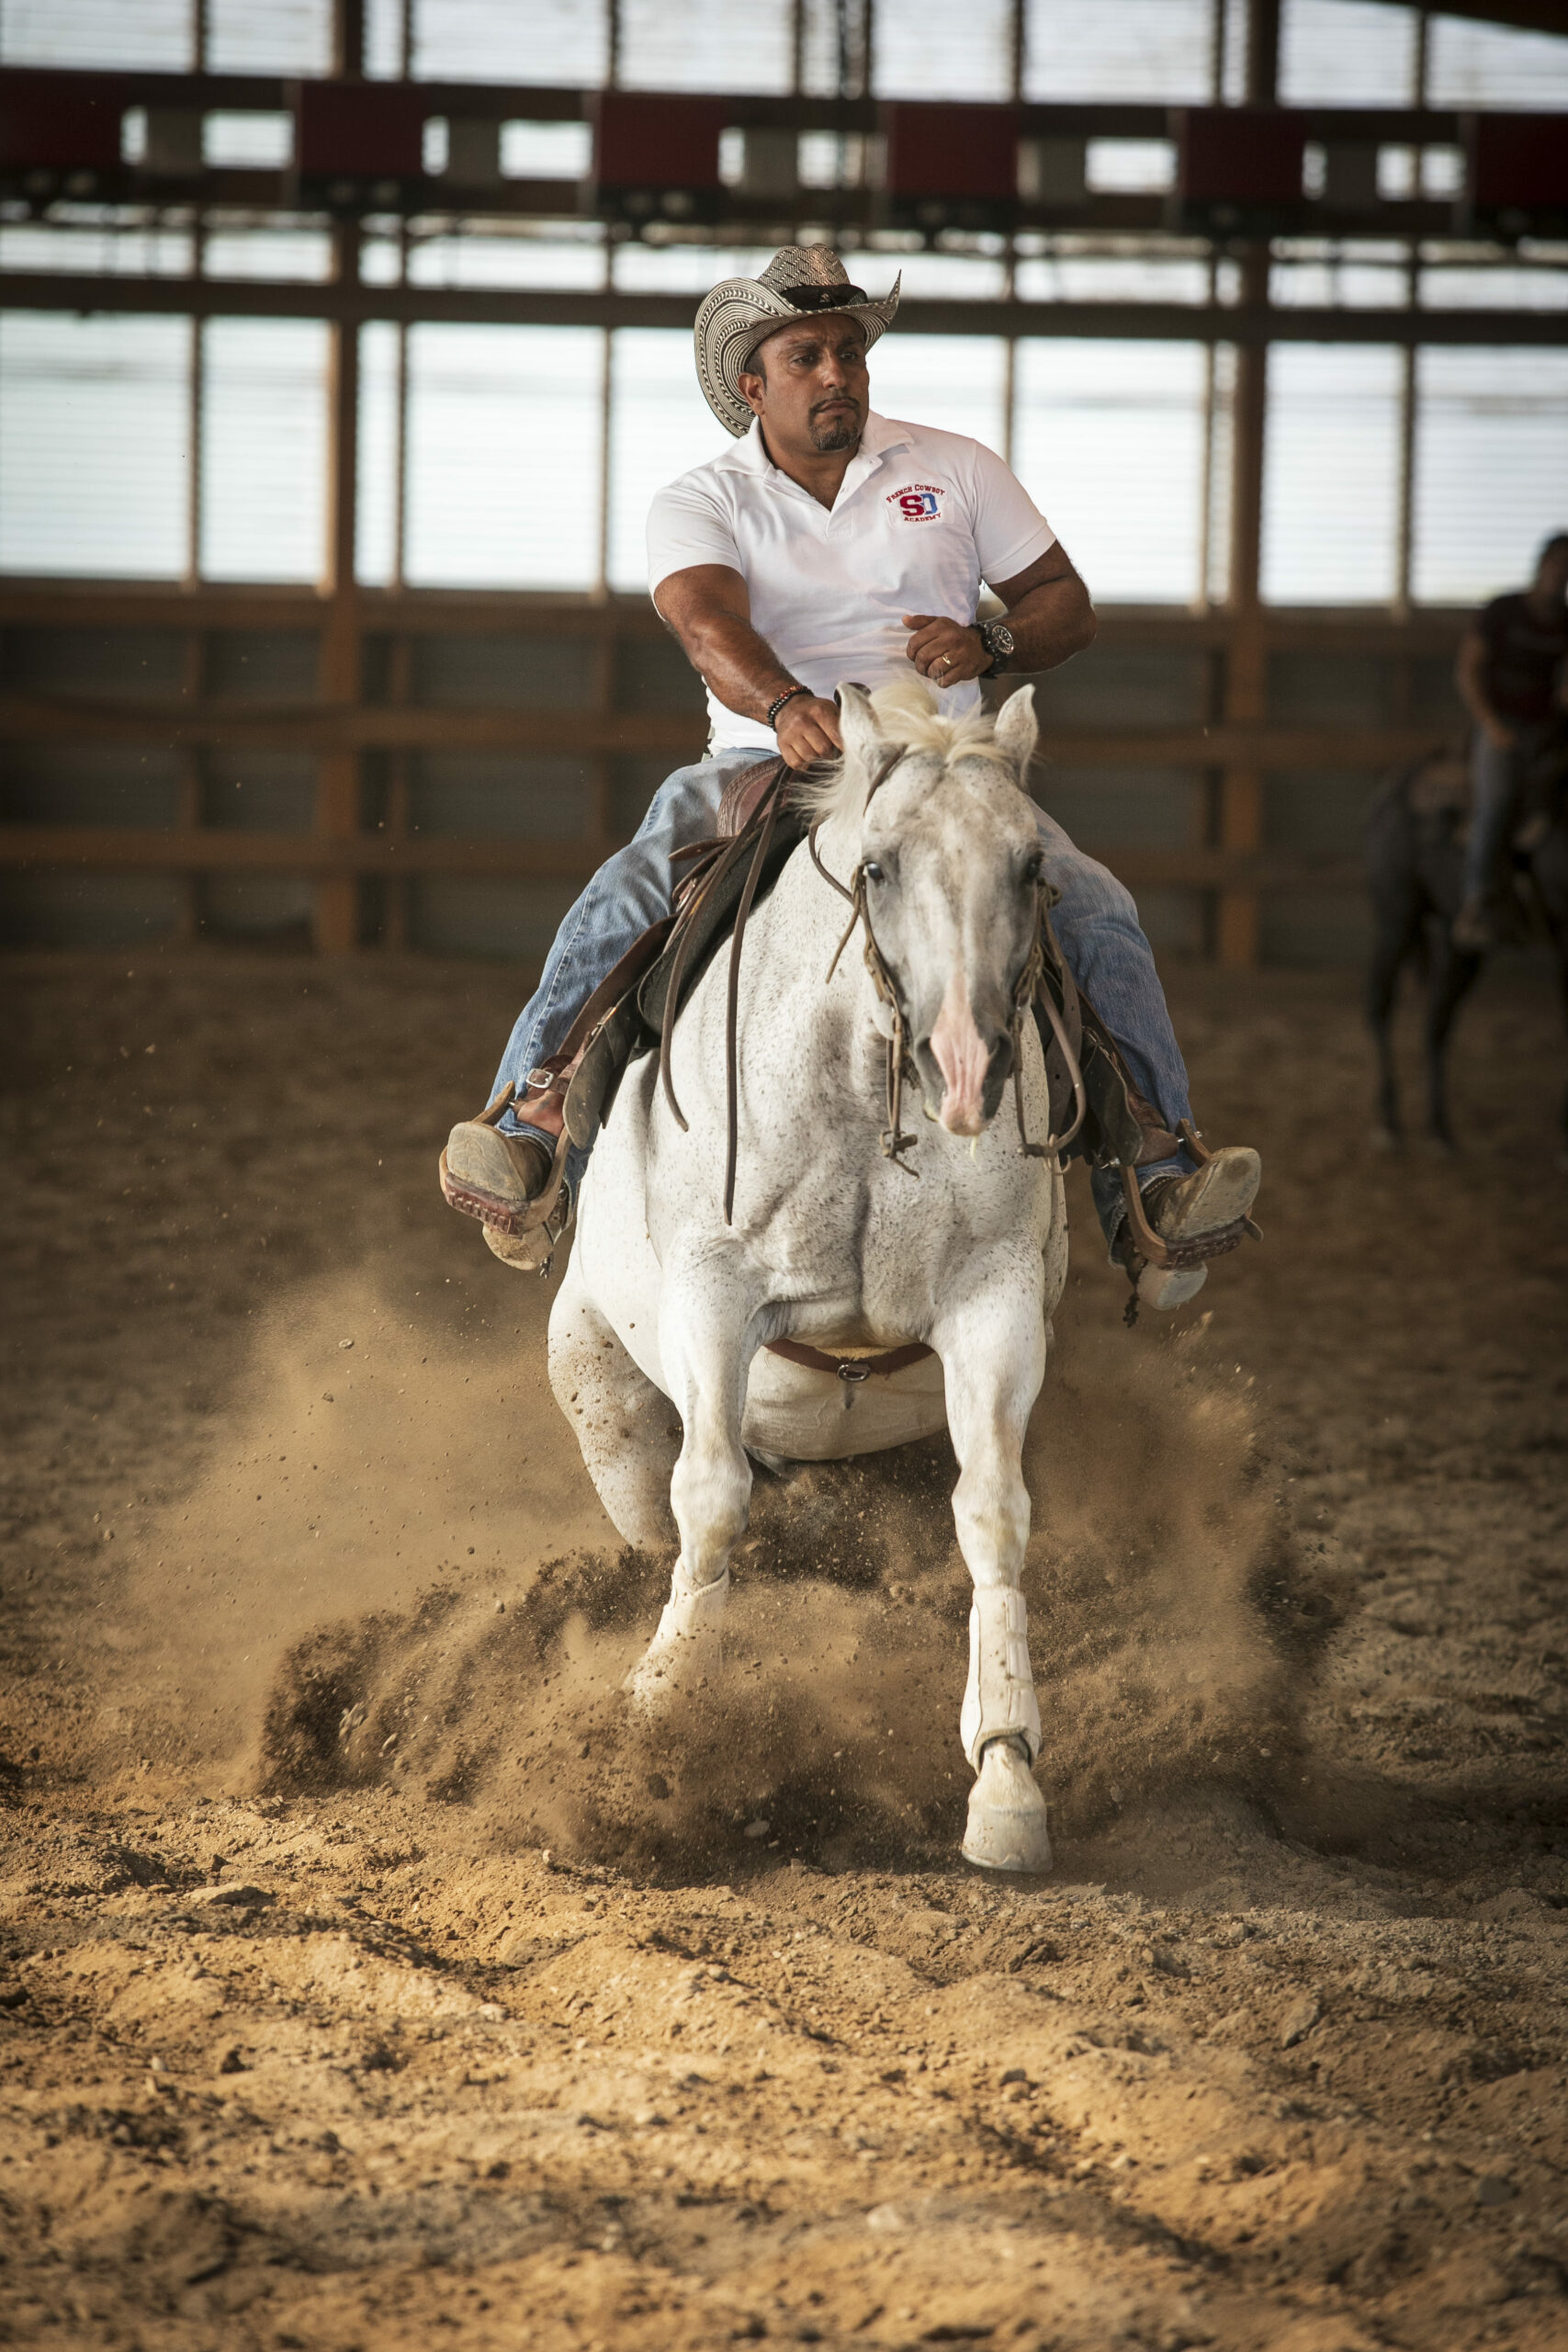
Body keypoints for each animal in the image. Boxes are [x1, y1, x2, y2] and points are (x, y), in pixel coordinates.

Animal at [547, 679, 1067, 1874]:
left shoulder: (996, 1308)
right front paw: (660, 1715)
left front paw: (1005, 1773)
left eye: (1030, 865)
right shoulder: (715, 1294)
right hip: (599, 1393)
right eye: (877, 867)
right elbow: (710, 1497)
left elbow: (994, 1515)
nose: (964, 1069)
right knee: (666, 1517)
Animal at [1365, 729, 1568, 1156]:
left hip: (1454, 938)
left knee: (1436, 1021)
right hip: (1397, 917)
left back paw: (1439, 1128)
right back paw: (1390, 1122)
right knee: (1380, 1002)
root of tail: (1393, 788)